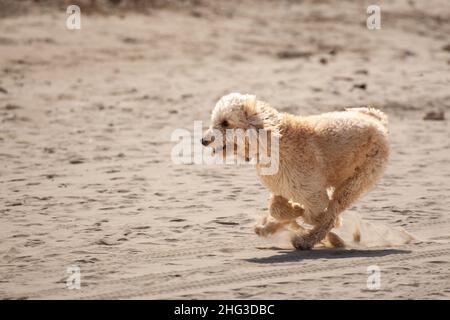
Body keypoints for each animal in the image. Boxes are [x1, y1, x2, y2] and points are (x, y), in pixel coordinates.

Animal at [202, 92, 388, 250]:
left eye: (225, 122)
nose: (203, 141)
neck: (275, 141)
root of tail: (378, 121)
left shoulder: (314, 194)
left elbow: (316, 216)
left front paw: (306, 216)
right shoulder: (281, 188)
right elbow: (276, 209)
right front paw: (293, 212)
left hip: (355, 183)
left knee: (332, 211)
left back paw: (306, 241)